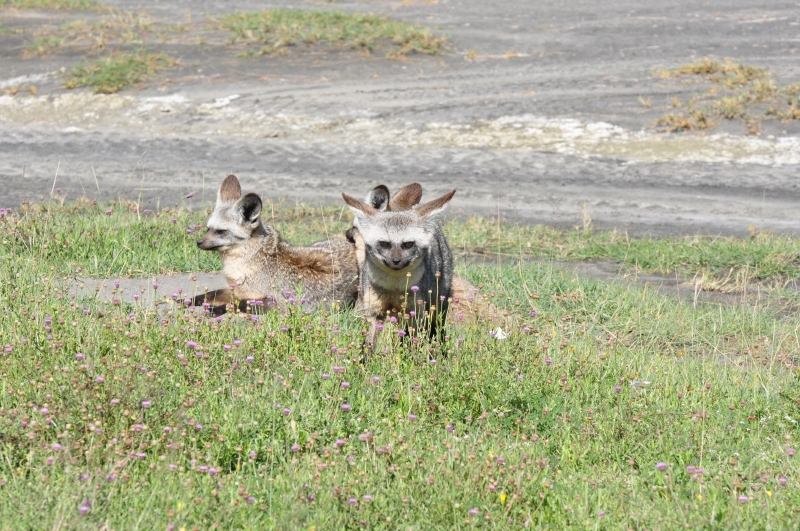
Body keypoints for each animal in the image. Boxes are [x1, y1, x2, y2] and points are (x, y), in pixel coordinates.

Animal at [194, 174, 359, 313]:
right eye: (208, 229)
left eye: (221, 231)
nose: (198, 242)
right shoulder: (237, 290)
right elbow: (210, 294)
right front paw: (191, 300)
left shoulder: (278, 303)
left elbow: (240, 304)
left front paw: (216, 309)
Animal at [342, 188, 456, 354]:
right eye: (384, 244)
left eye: (408, 244)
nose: (396, 261)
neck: (393, 287)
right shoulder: (375, 313)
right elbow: (368, 345)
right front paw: (365, 360)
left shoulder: (416, 313)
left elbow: (414, 343)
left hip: (436, 308)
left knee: (436, 330)